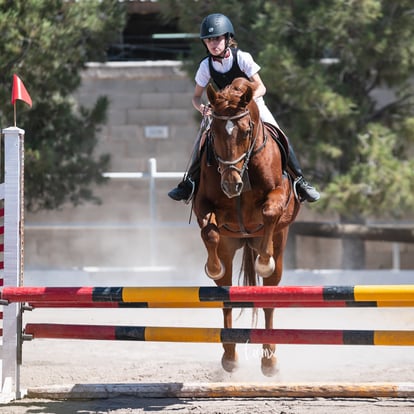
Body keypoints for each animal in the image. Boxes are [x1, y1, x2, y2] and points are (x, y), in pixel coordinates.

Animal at [192, 77, 300, 376]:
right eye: (214, 132)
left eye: (245, 131)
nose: (231, 185)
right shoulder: (203, 203)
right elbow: (209, 231)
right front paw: (212, 267)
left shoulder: (279, 195)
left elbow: (270, 211)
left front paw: (264, 262)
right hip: (231, 247)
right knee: (226, 297)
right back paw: (229, 356)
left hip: (279, 247)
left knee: (268, 301)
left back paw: (269, 359)